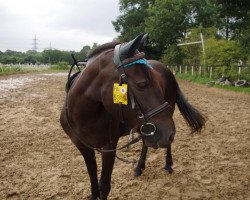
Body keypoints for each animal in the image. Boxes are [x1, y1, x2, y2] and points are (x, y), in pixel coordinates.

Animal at [60, 33, 205, 199]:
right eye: (142, 84)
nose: (169, 133)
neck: (84, 117)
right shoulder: (84, 148)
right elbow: (93, 182)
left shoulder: (109, 148)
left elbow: (104, 186)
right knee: (146, 142)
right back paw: (139, 167)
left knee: (165, 144)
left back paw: (168, 165)